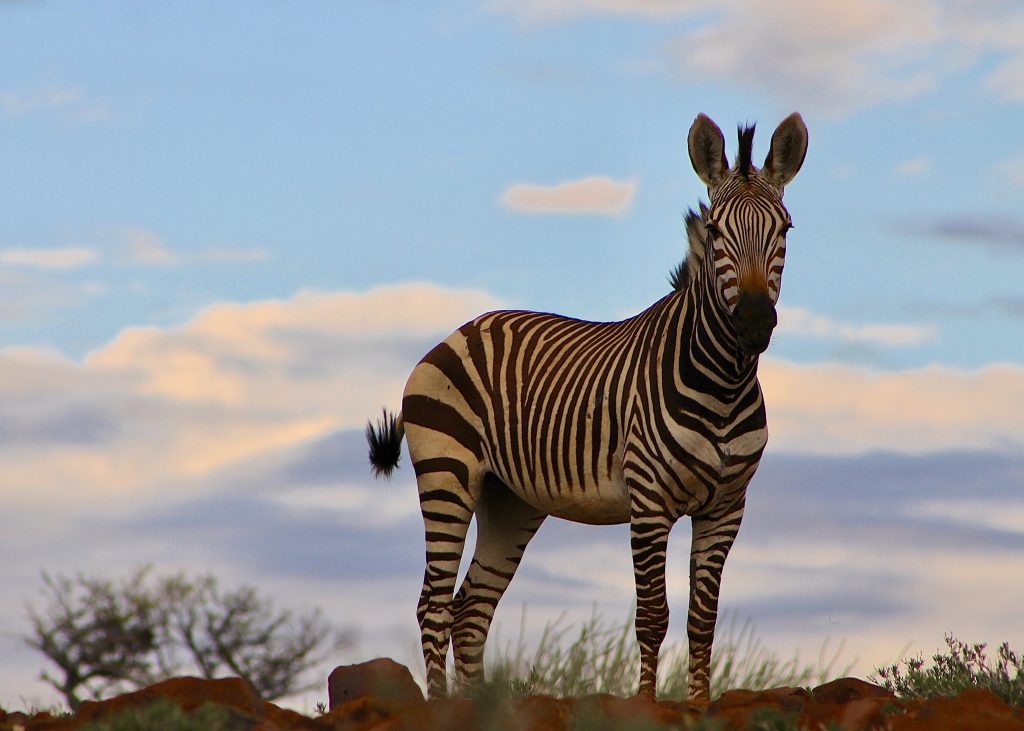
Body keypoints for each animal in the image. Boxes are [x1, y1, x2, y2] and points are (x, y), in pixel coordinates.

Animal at [366, 113, 808, 706]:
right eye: (716, 232)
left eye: (784, 229)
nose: (756, 323)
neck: (724, 382)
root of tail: (462, 330)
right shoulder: (649, 501)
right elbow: (652, 615)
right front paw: (646, 705)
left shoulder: (726, 507)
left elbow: (702, 619)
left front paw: (698, 704)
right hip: (447, 475)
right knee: (433, 607)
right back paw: (440, 707)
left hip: (510, 499)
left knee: (470, 611)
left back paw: (476, 708)